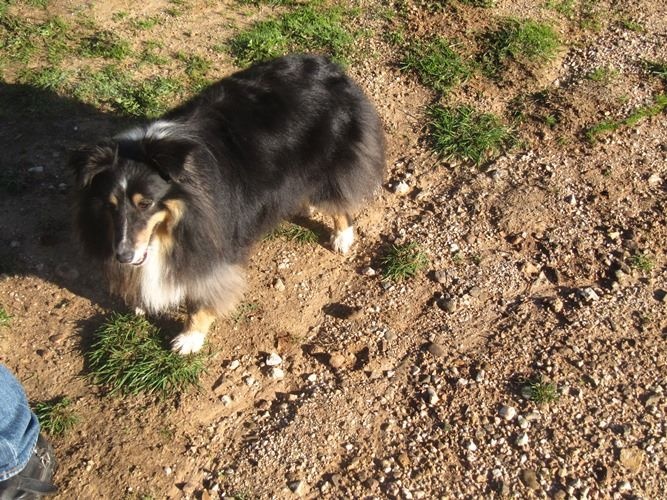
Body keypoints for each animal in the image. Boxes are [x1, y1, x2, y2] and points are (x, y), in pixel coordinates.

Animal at [72, 52, 386, 354]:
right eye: (110, 204)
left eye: (146, 203)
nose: (123, 256)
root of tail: (329, 67)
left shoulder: (212, 241)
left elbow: (203, 294)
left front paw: (188, 340)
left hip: (331, 159)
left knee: (340, 197)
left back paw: (342, 237)